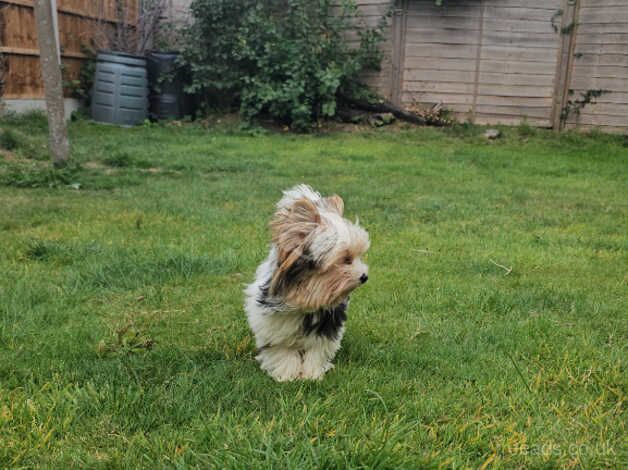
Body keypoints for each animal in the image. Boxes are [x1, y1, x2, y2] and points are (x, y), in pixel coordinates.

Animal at [244, 185, 368, 382]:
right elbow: (283, 352)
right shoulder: (273, 326)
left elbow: (316, 352)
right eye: (346, 259)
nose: (364, 276)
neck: (307, 294)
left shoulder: (326, 327)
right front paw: (287, 376)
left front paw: (311, 375)